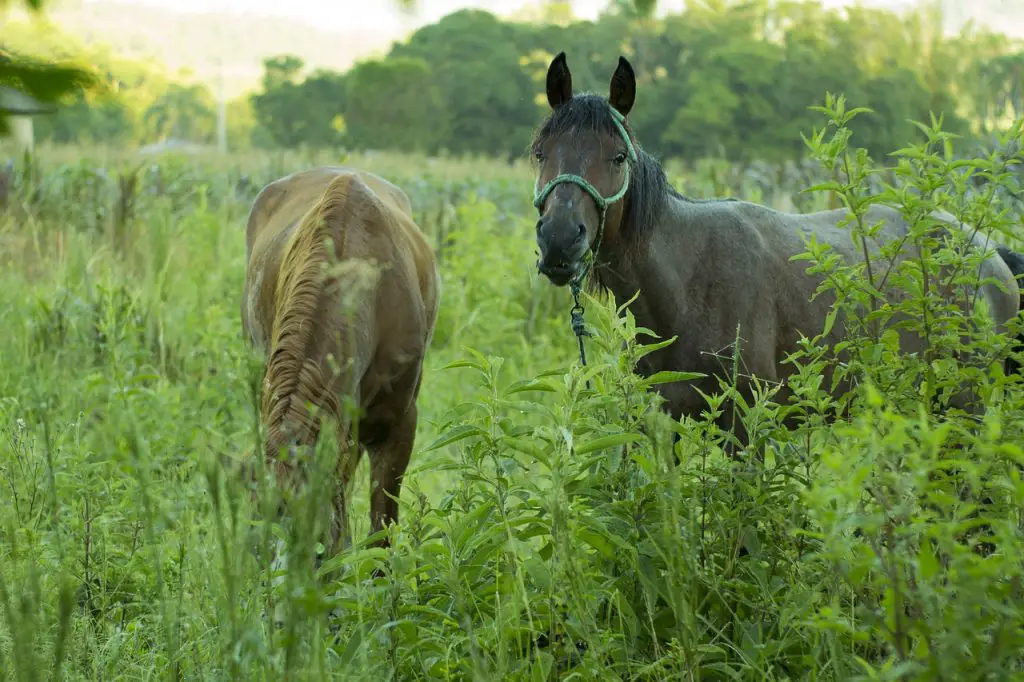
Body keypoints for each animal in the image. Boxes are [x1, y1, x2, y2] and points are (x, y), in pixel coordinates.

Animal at [528, 53, 1024, 446]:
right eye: (540, 153)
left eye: (618, 157)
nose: (559, 239)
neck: (687, 285)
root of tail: (991, 254)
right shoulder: (662, 426)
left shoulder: (747, 429)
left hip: (966, 405)